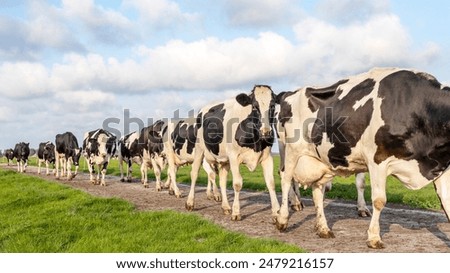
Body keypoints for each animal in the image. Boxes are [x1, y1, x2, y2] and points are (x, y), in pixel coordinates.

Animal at [185, 84, 280, 221]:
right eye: (254, 106)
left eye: (272, 105)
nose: (266, 131)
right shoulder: (234, 156)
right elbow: (237, 183)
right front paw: (236, 212)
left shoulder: (267, 157)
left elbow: (271, 183)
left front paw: (277, 214)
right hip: (199, 149)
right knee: (194, 174)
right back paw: (190, 203)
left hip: (224, 159)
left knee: (222, 180)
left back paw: (225, 206)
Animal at [274, 67, 450, 248]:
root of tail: (291, 92)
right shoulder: (378, 159)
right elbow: (379, 200)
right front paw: (374, 237)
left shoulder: (441, 165)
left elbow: (446, 201)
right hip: (291, 150)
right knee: (286, 178)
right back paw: (283, 218)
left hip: (321, 160)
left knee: (317, 190)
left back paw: (323, 228)